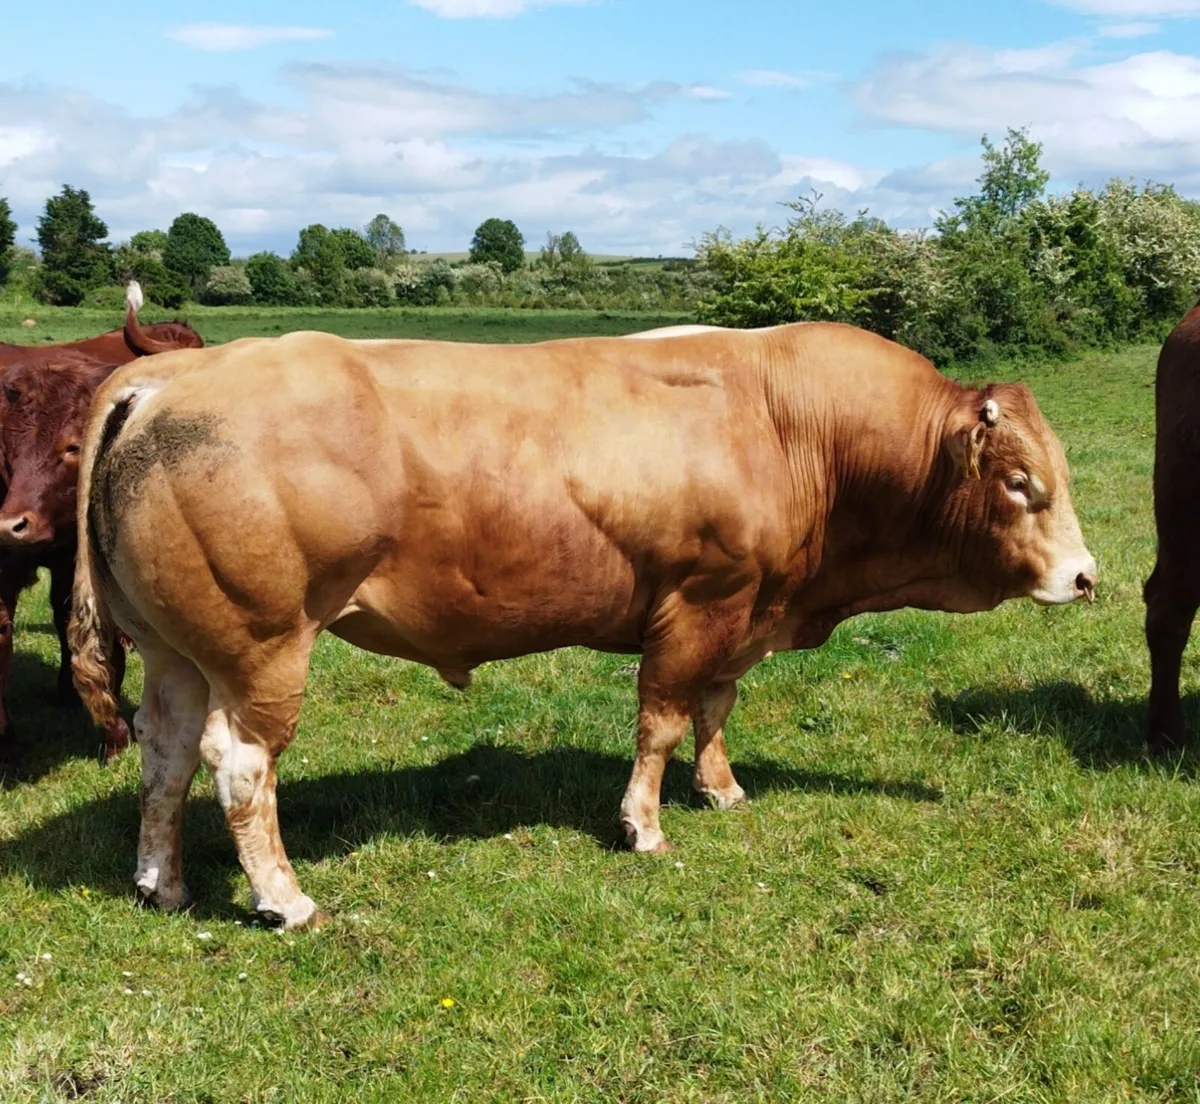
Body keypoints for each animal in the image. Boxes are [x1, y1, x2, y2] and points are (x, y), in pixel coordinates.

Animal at [68, 322, 1096, 928]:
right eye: (1020, 483)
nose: (1086, 577)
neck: (795, 427)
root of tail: (174, 371)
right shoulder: (699, 602)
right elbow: (663, 717)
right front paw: (644, 825)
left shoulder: (744, 609)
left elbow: (717, 708)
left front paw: (721, 790)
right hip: (263, 648)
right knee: (240, 765)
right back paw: (283, 898)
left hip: (174, 651)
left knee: (165, 757)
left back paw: (162, 882)